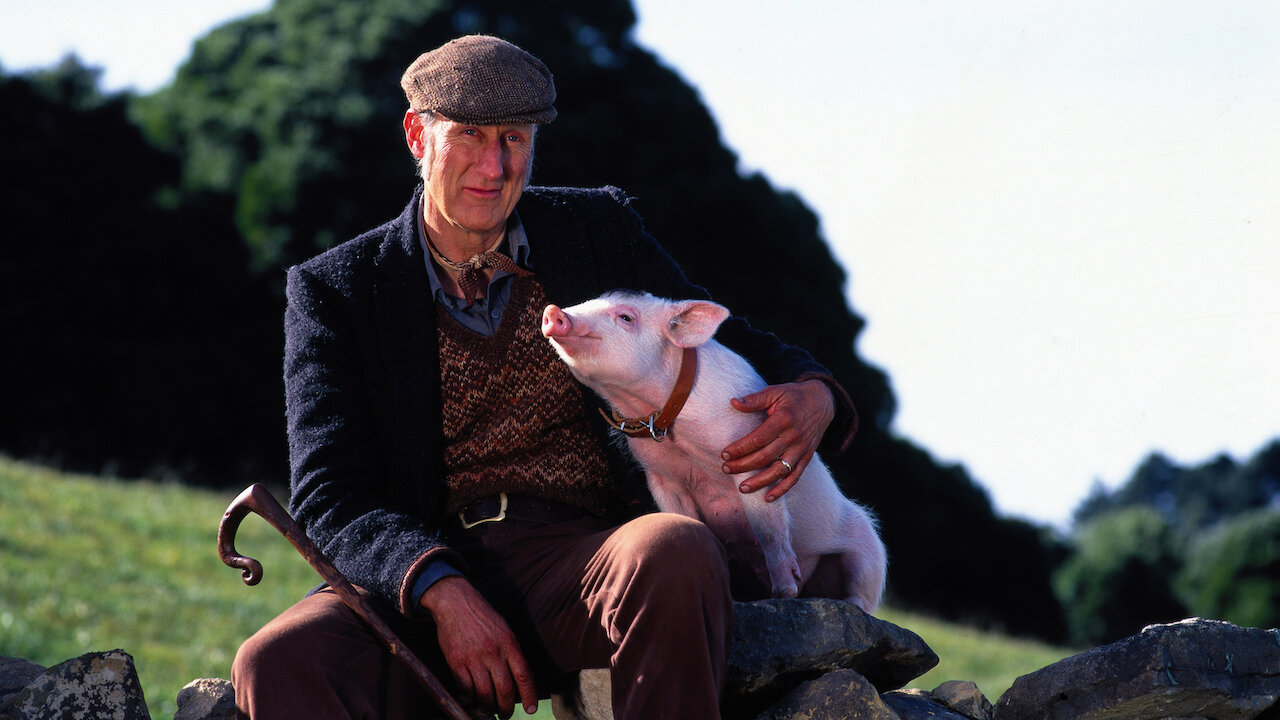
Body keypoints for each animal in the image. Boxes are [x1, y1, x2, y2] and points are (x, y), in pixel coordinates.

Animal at [541, 290, 886, 612]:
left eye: (626, 317)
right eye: (589, 300)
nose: (554, 311)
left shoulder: (749, 456)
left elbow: (768, 524)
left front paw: (786, 592)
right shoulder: (661, 476)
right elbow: (682, 517)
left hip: (870, 549)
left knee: (863, 591)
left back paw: (840, 604)